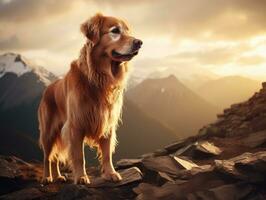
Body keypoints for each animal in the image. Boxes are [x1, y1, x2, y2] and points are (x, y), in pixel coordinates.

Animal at [38, 12, 141, 184]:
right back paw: (47, 177)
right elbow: (79, 156)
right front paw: (81, 177)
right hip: (48, 132)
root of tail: (47, 89)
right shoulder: (76, 125)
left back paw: (58, 176)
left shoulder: (107, 122)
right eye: (115, 31)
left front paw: (110, 173)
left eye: (128, 31)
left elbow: (107, 154)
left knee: (55, 158)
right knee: (47, 157)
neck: (99, 78)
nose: (139, 43)